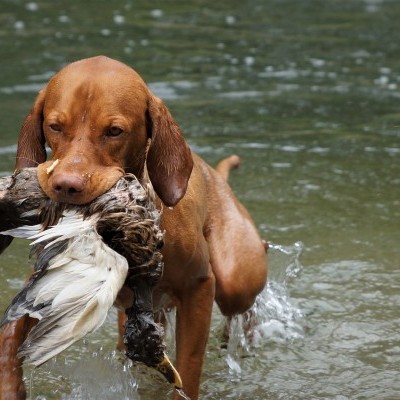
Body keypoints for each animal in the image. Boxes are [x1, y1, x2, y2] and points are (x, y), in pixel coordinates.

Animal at [0, 57, 268, 400]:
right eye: (55, 126)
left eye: (114, 131)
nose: (66, 186)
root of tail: (216, 176)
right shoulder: (47, 281)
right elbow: (11, 331)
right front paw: (10, 385)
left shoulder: (198, 287)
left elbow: (188, 368)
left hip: (235, 279)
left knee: (243, 302)